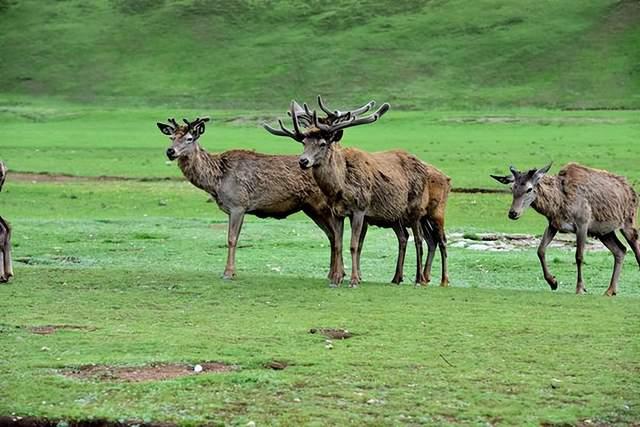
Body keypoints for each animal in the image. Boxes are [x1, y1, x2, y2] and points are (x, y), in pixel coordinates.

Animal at [156, 117, 344, 284]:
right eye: (171, 138)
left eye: (189, 138)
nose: (170, 151)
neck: (217, 180)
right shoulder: (235, 208)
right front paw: (232, 272)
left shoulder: (238, 204)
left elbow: (231, 239)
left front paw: (228, 273)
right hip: (310, 208)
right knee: (331, 235)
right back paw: (333, 274)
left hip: (323, 205)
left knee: (336, 234)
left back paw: (338, 275)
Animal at [262, 98, 450, 288]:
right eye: (304, 143)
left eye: (323, 143)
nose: (303, 161)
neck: (340, 187)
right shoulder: (337, 212)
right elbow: (338, 243)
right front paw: (336, 279)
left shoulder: (360, 209)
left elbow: (354, 244)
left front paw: (353, 280)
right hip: (396, 214)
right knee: (408, 237)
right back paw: (399, 278)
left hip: (418, 209)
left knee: (423, 240)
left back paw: (423, 279)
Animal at [492, 162, 640, 296]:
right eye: (512, 188)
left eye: (529, 189)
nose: (512, 213)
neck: (559, 204)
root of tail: (633, 192)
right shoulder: (554, 224)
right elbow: (540, 250)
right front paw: (553, 282)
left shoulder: (583, 222)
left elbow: (579, 256)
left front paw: (580, 288)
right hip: (604, 231)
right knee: (620, 250)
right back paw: (610, 290)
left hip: (628, 221)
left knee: (635, 247)